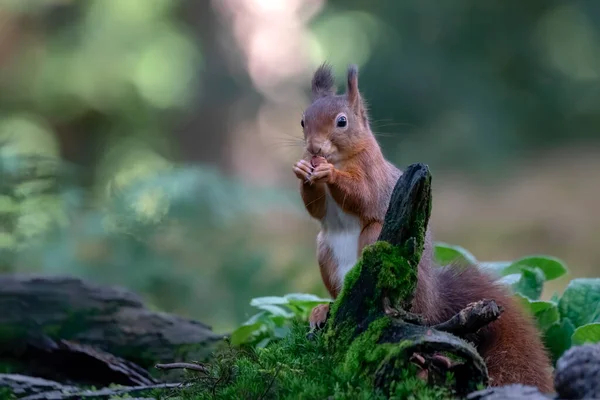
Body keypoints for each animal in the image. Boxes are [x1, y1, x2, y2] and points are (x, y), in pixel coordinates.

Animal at [290, 62, 552, 390]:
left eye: (342, 122)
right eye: (303, 120)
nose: (313, 149)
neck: (339, 157)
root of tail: (433, 303)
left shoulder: (373, 174)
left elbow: (363, 196)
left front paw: (331, 174)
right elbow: (316, 208)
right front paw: (302, 170)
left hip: (376, 242)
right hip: (325, 249)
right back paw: (325, 309)